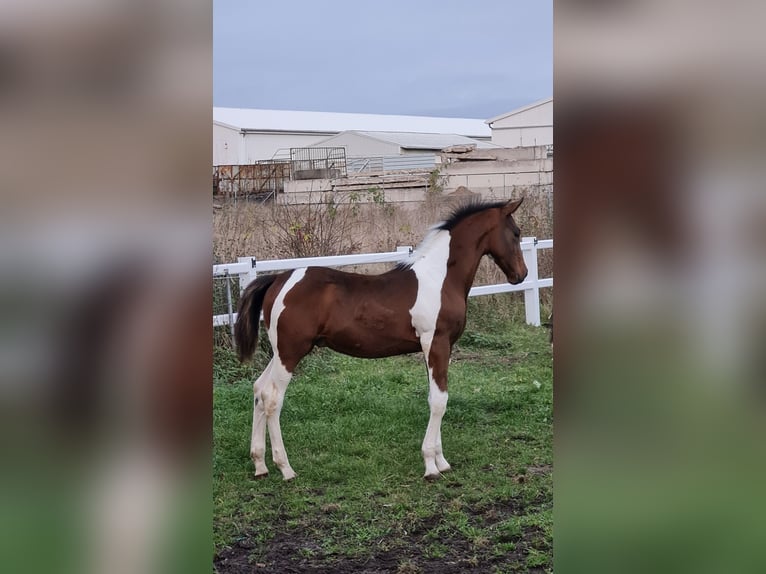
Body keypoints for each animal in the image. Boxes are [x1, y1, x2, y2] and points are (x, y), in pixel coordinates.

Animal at [237, 198, 532, 482]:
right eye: (516, 233)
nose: (522, 275)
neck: (439, 278)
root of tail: (278, 279)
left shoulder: (434, 349)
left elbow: (435, 397)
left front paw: (442, 461)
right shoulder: (437, 343)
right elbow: (439, 401)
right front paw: (431, 466)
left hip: (280, 353)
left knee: (258, 390)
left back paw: (260, 465)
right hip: (291, 353)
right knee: (272, 398)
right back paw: (285, 468)